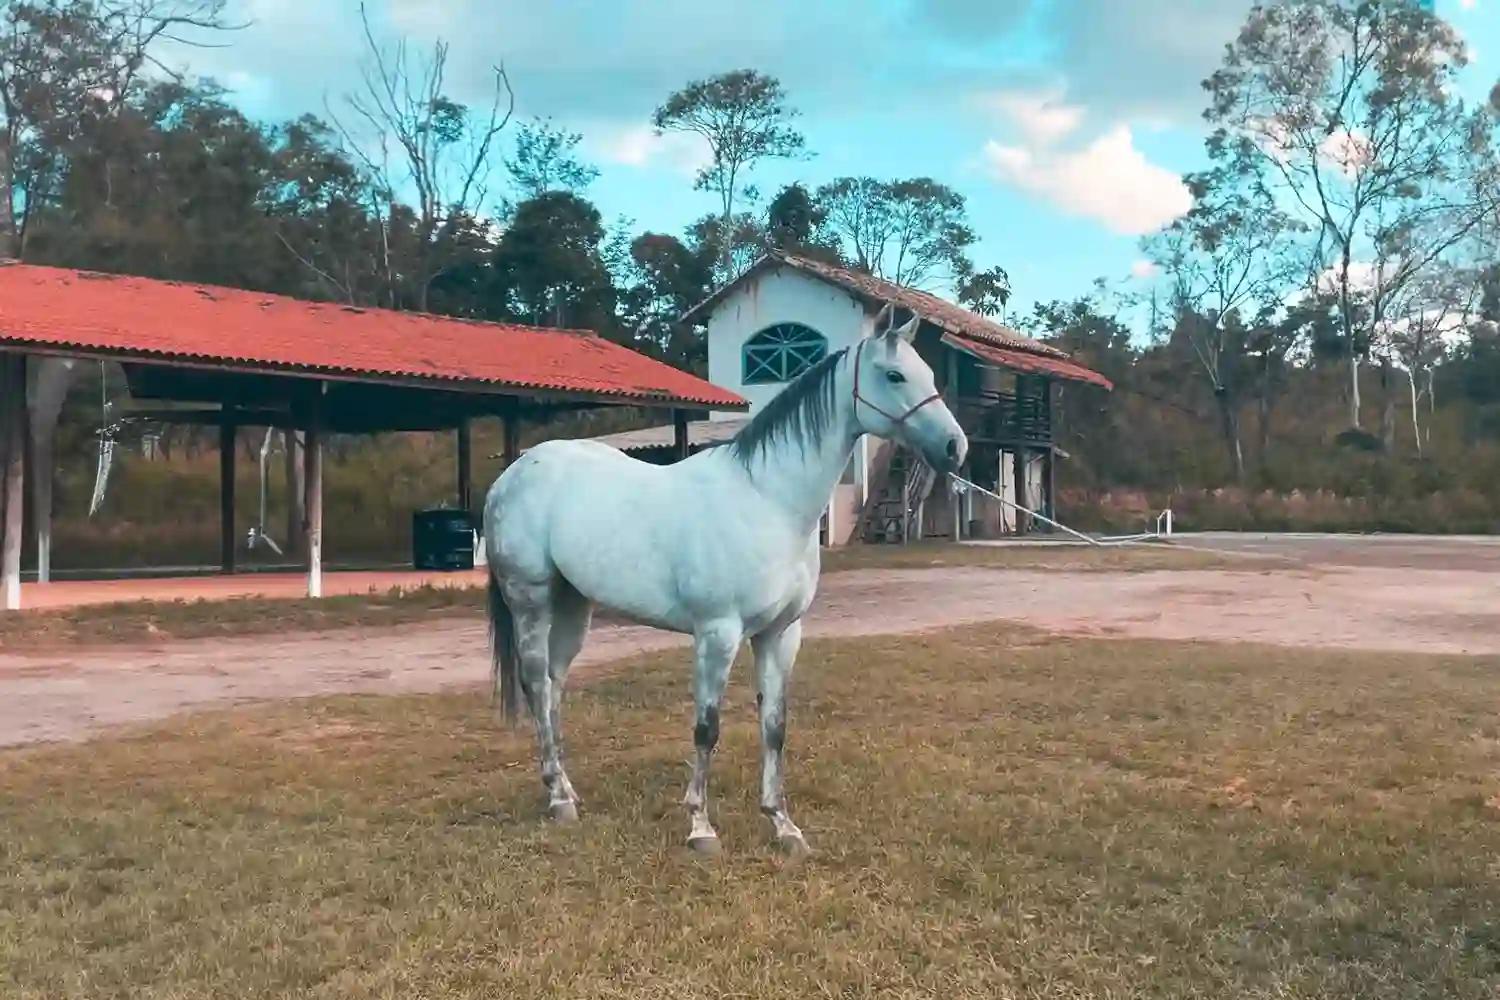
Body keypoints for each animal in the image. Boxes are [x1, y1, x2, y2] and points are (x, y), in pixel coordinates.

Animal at [486, 305, 966, 851]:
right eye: (893, 375)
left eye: (929, 374)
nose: (955, 447)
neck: (768, 501)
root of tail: (513, 475)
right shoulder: (718, 632)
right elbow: (707, 727)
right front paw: (700, 827)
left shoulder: (781, 634)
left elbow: (775, 725)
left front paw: (783, 825)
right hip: (531, 600)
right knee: (535, 684)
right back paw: (556, 798)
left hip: (573, 605)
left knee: (553, 684)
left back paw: (567, 790)